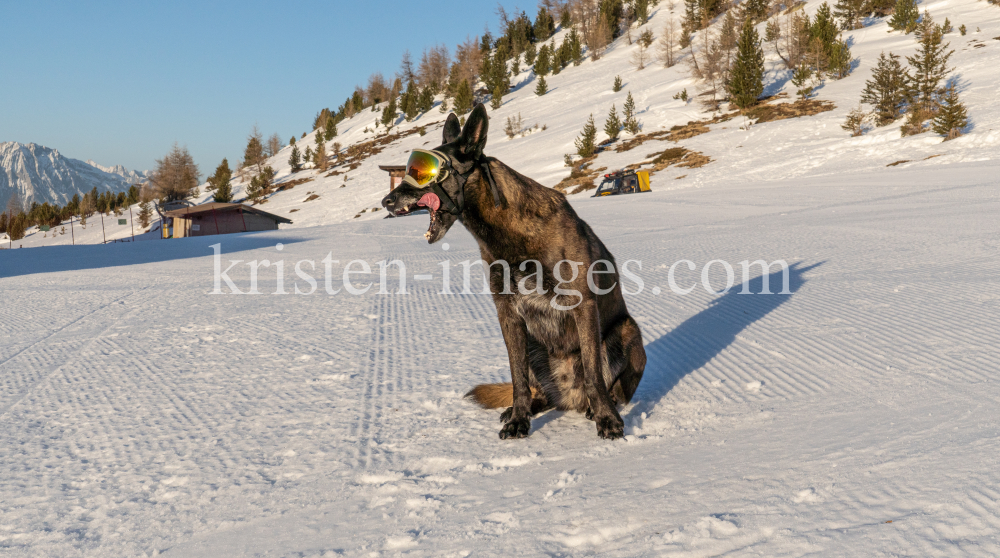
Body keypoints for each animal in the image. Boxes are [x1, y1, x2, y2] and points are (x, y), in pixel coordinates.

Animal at [378, 103, 644, 440]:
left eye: (422, 172)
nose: (386, 200)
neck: (509, 236)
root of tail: (569, 398)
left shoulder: (583, 307)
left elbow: (595, 374)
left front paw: (607, 420)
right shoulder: (508, 315)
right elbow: (518, 379)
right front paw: (519, 419)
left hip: (628, 331)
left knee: (611, 388)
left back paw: (597, 409)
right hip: (534, 345)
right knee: (536, 391)